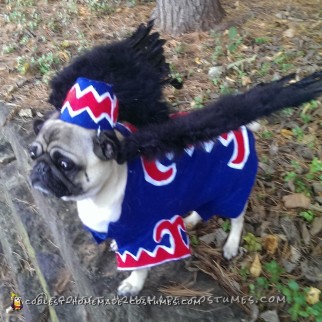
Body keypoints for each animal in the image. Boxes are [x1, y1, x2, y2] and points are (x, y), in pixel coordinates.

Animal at [29, 70, 322, 294]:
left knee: (237, 218)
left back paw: (231, 244)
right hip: (203, 187)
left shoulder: (144, 235)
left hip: (229, 191)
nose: (39, 168)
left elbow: (140, 263)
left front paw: (134, 284)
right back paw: (191, 219)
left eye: (65, 164)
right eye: (33, 153)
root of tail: (241, 126)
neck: (99, 193)